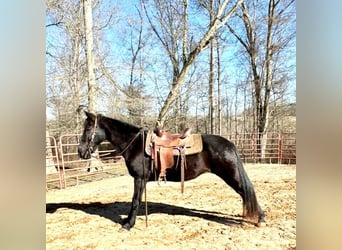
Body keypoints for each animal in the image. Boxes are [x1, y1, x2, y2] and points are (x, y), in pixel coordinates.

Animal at [79, 111, 266, 230]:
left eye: (88, 128)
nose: (80, 151)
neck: (135, 144)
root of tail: (229, 144)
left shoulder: (139, 178)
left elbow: (135, 201)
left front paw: (128, 224)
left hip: (231, 176)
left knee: (246, 192)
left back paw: (260, 218)